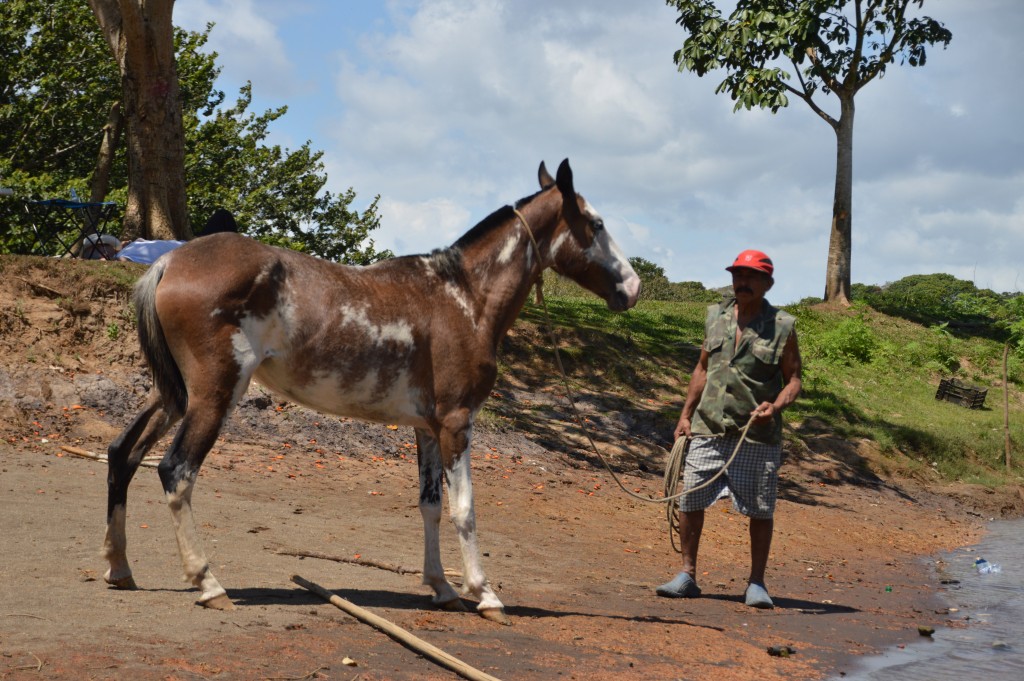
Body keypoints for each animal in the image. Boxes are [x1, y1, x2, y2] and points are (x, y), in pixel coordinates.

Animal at [103, 157, 643, 622]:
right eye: (595, 223)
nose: (633, 288)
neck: (463, 297)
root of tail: (170, 263)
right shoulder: (457, 423)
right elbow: (465, 510)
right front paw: (485, 594)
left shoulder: (427, 428)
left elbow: (430, 505)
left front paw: (442, 588)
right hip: (213, 396)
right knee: (176, 472)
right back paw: (208, 583)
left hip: (174, 394)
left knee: (122, 453)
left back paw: (118, 568)